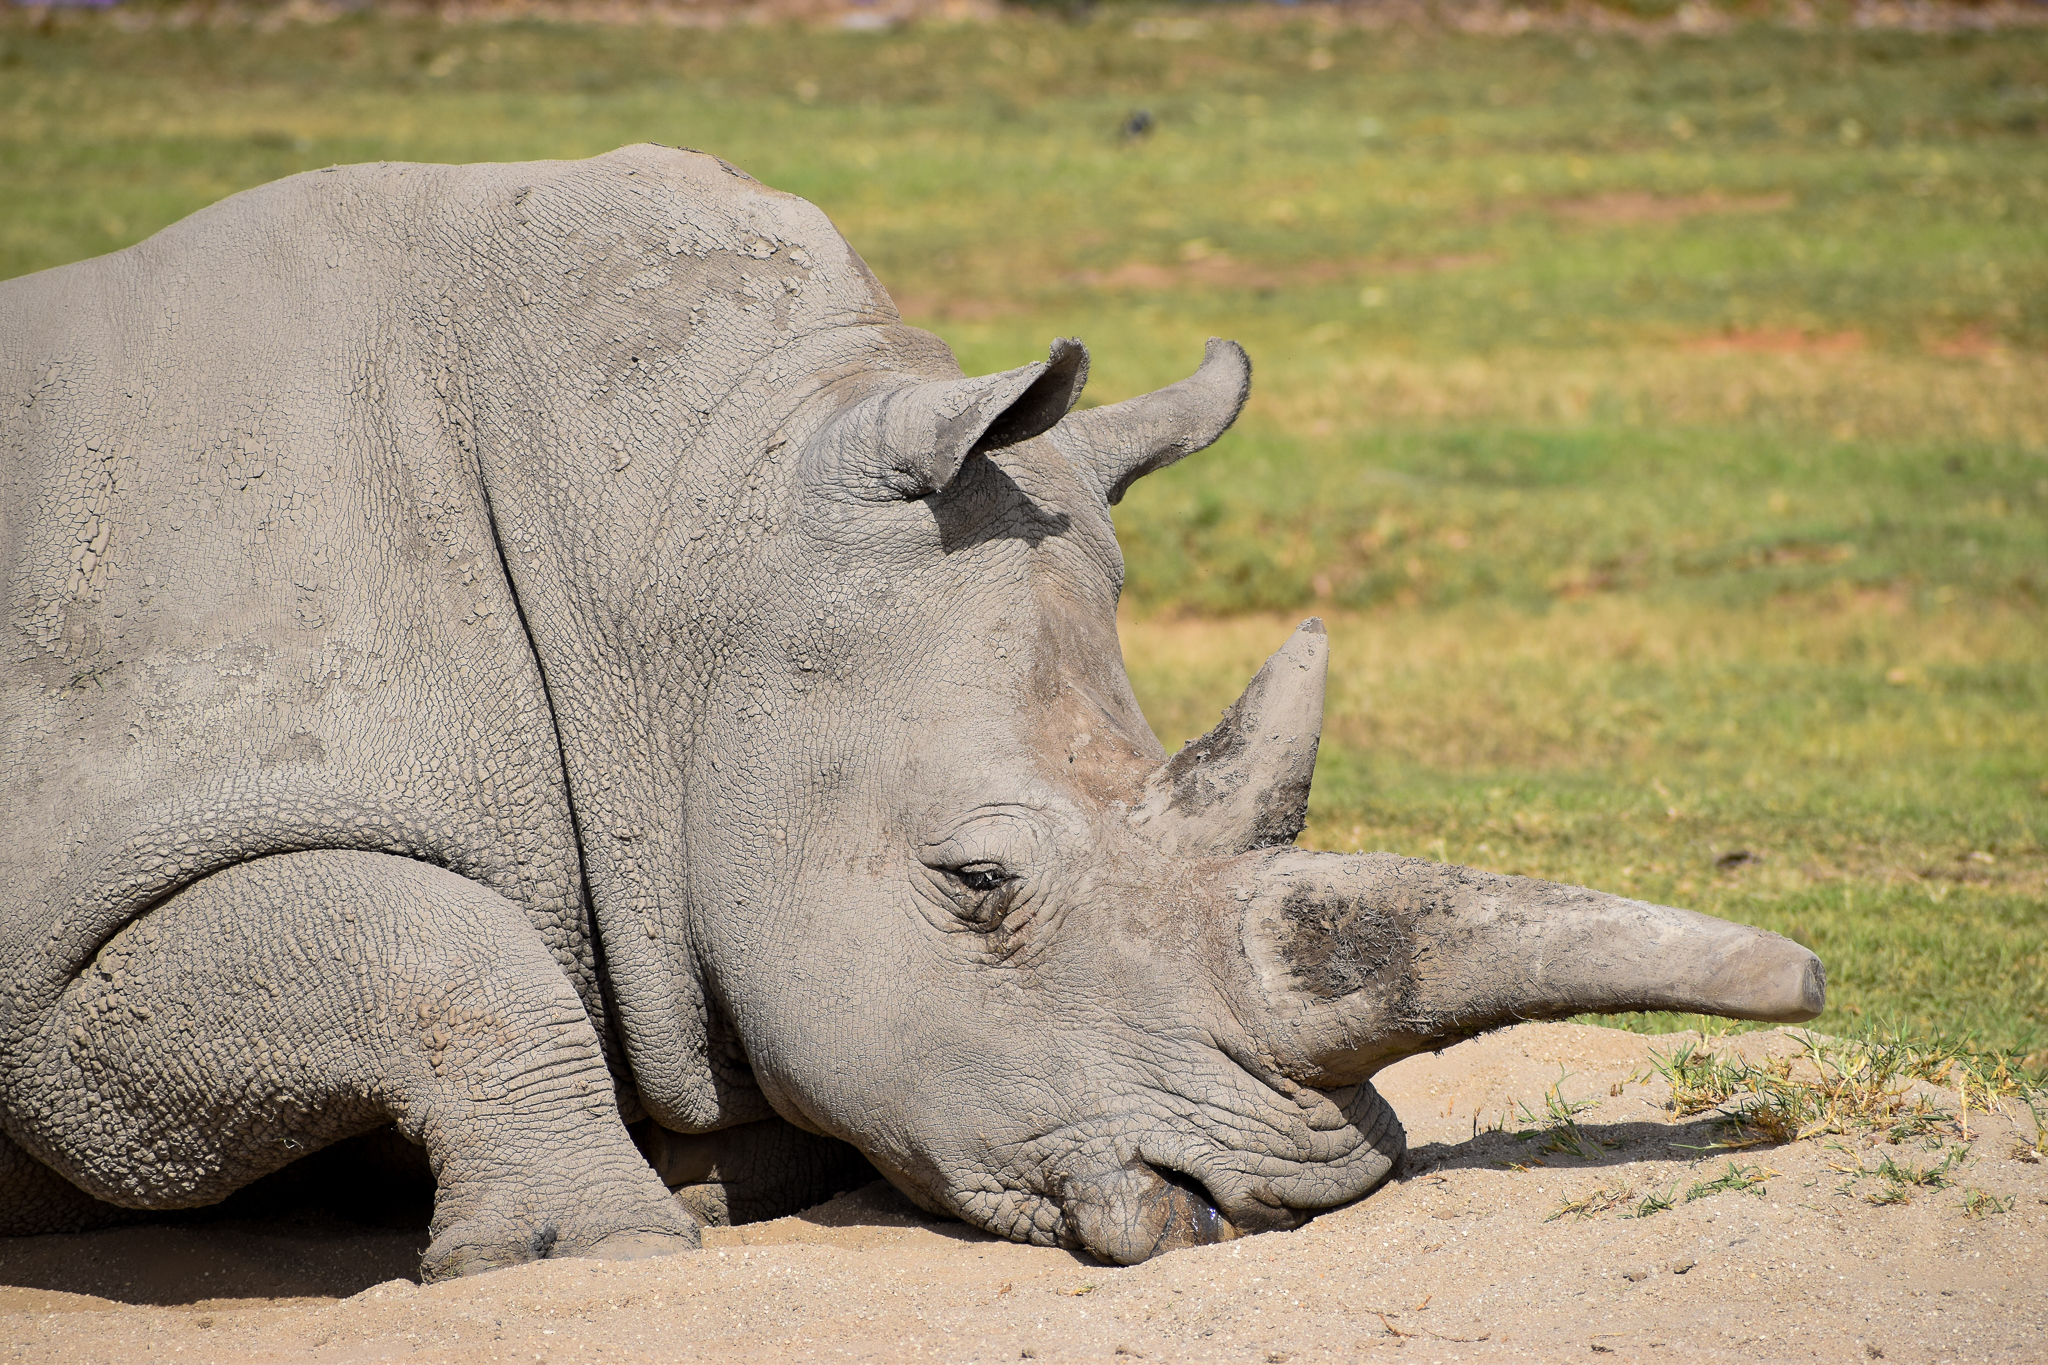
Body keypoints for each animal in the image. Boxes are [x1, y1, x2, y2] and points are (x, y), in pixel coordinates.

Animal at [0, 145, 1824, 1278]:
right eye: (975, 883)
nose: (1282, 1204)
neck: (661, 552)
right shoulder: (80, 904)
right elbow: (429, 953)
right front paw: (600, 1250)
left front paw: (696, 1186)